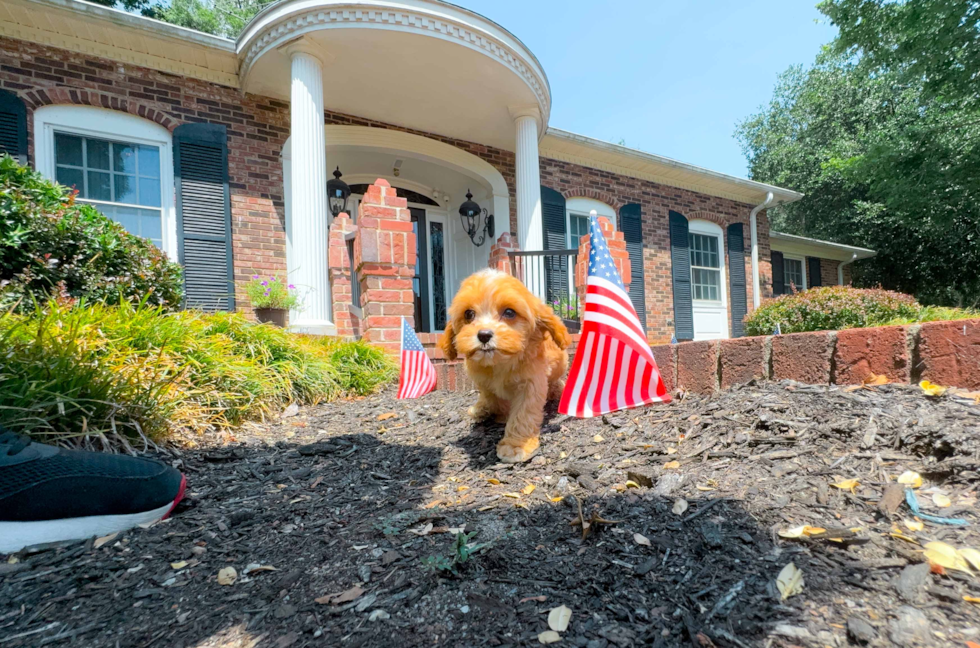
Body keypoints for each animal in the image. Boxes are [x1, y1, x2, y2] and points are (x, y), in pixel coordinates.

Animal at [438, 270, 572, 464]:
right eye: (469, 314)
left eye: (509, 312)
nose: (484, 335)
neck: (499, 363)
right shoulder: (482, 381)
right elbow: (491, 396)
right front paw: (497, 412)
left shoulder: (530, 384)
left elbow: (523, 414)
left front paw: (516, 445)